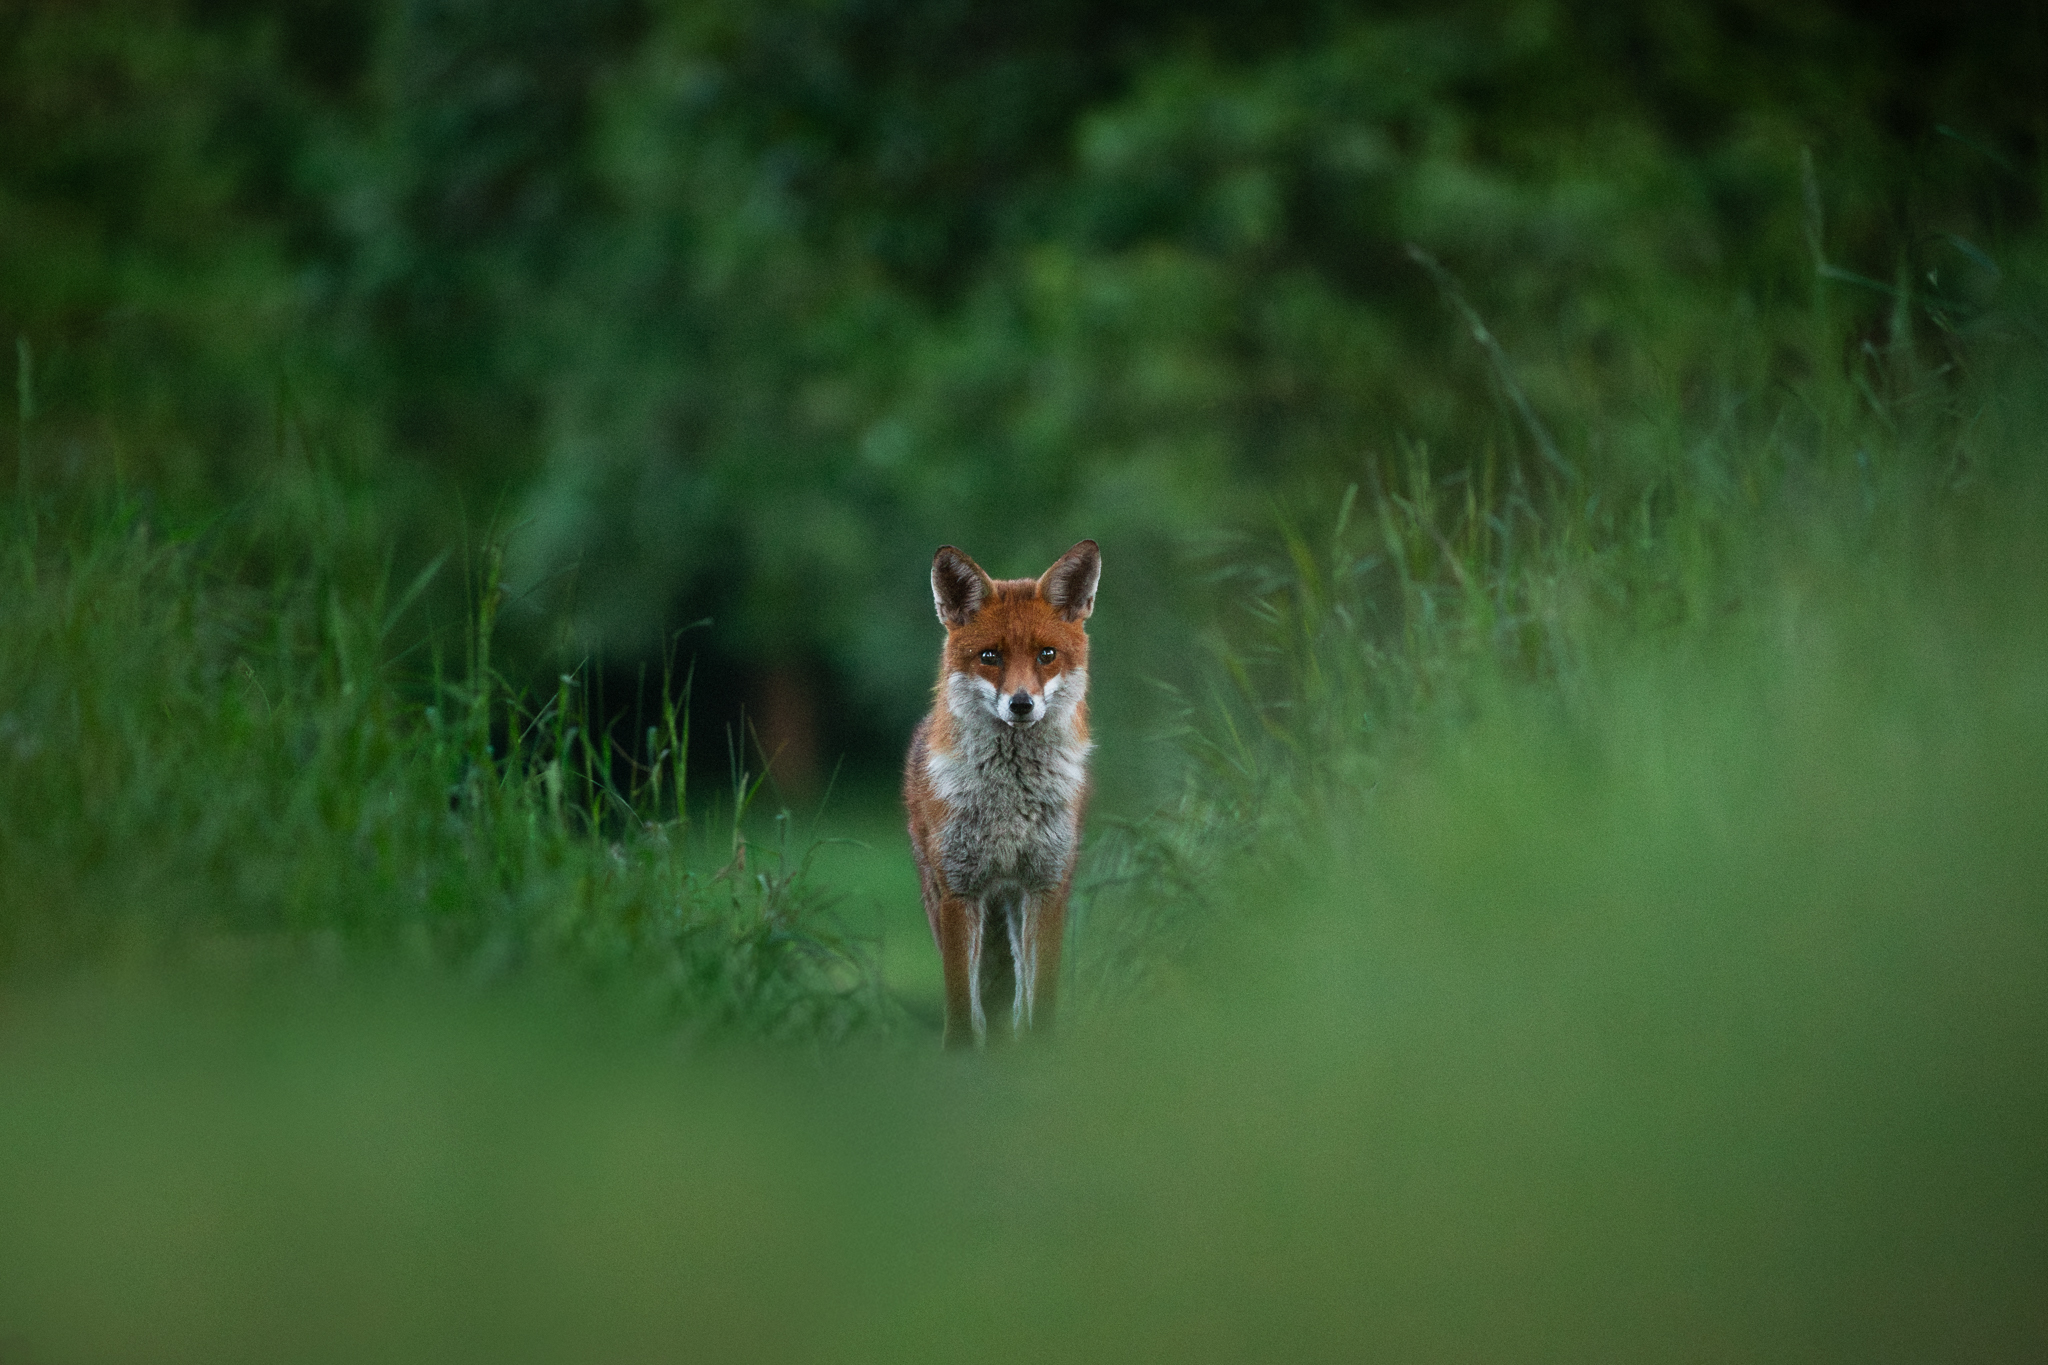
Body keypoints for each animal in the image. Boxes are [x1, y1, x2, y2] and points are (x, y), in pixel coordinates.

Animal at [903, 539, 1101, 1048]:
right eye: (990, 656)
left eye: (1047, 654)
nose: (1021, 704)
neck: (1010, 802)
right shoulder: (959, 890)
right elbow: (961, 1004)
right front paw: (961, 1053)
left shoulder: (1047, 885)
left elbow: (1040, 997)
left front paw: (1040, 1050)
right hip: (937, 892)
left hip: (1014, 902)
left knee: (1016, 994)